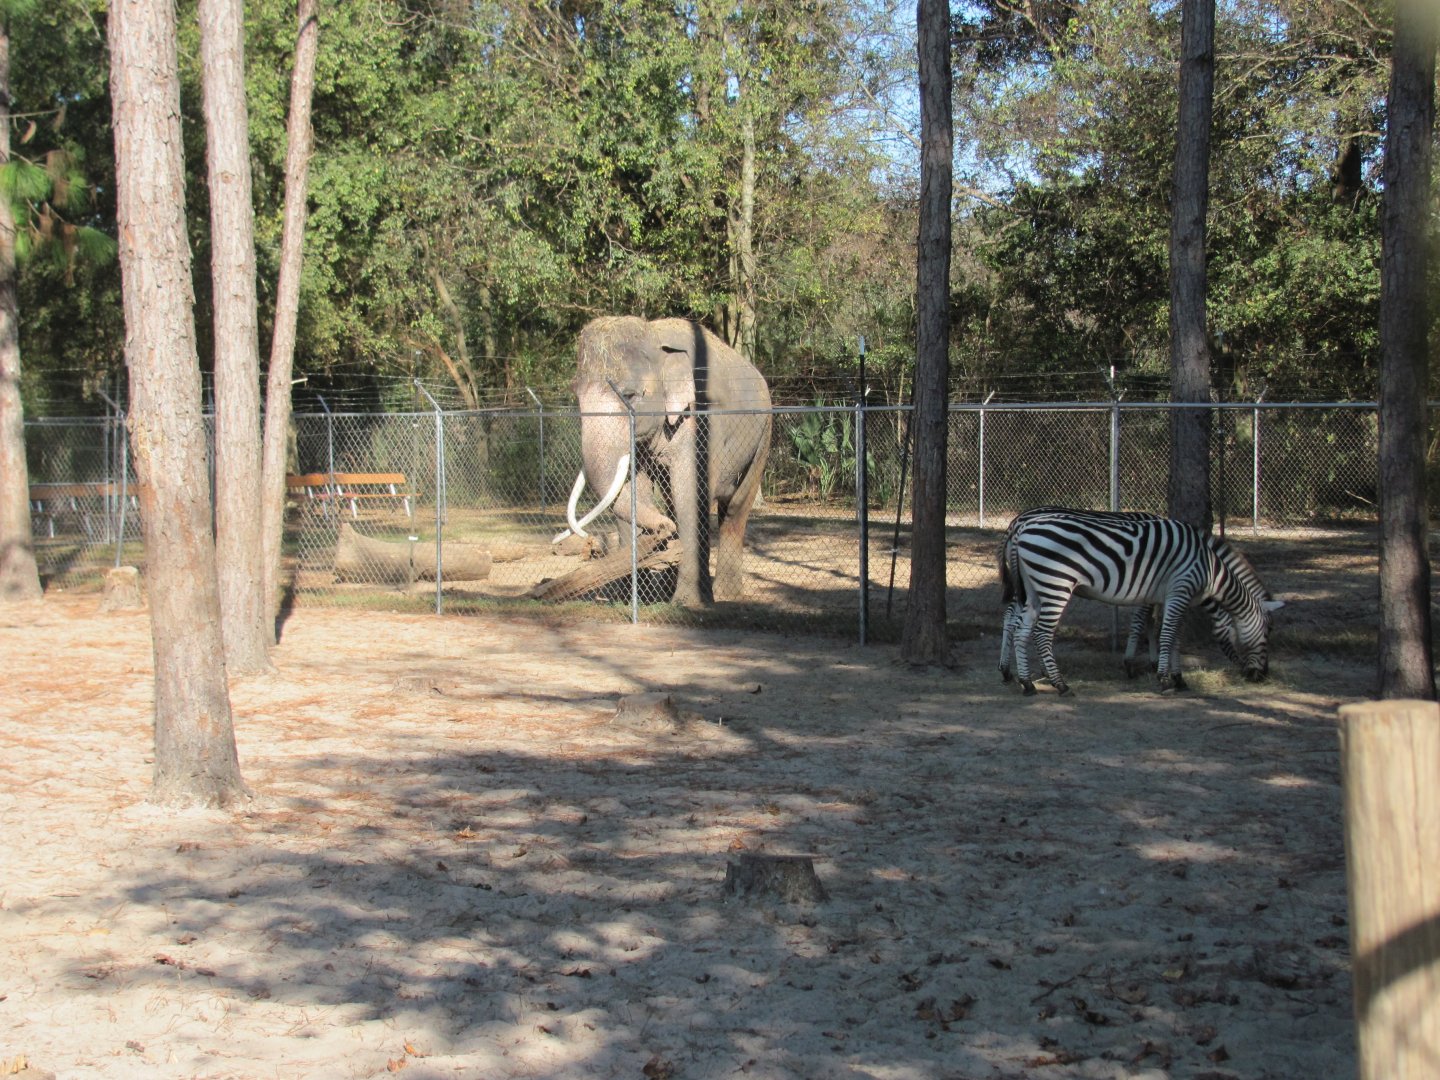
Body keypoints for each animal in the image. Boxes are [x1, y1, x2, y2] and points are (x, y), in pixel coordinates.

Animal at [998, 507, 1283, 695]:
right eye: (1268, 631)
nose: (1261, 676)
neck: (1210, 567)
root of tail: (1020, 525)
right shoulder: (1175, 590)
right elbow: (1156, 629)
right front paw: (1157, 675)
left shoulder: (1171, 596)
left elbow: (1171, 634)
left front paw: (1177, 677)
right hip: (1056, 583)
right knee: (1040, 632)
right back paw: (1059, 684)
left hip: (1032, 587)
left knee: (1020, 626)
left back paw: (1026, 682)